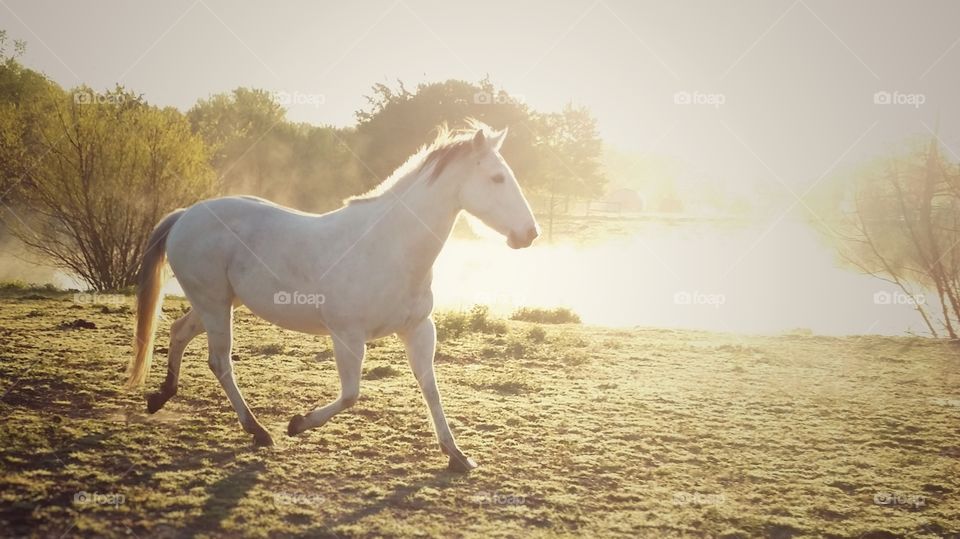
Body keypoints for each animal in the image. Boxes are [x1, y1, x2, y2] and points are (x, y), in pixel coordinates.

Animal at [125, 121, 539, 472]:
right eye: (497, 177)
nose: (530, 233)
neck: (388, 246)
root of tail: (186, 215)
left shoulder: (419, 330)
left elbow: (431, 390)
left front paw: (457, 456)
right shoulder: (348, 336)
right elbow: (351, 394)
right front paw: (297, 424)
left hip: (219, 302)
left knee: (179, 332)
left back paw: (161, 397)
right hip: (214, 305)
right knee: (220, 361)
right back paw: (259, 431)